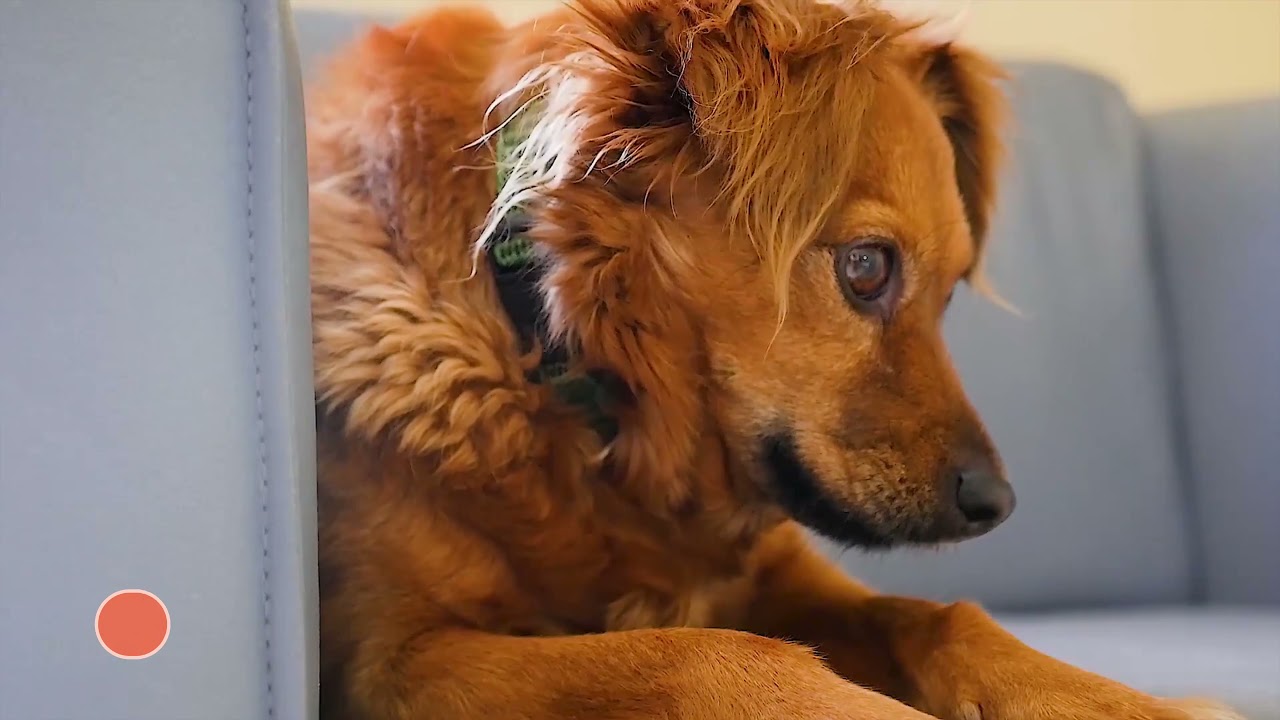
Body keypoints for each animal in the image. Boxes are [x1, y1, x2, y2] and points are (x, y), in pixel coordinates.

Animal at [305, 1, 1243, 718]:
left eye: (949, 296)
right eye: (866, 267)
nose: (997, 504)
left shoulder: (785, 577)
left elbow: (942, 617)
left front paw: (1138, 705)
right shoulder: (397, 659)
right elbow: (703, 653)